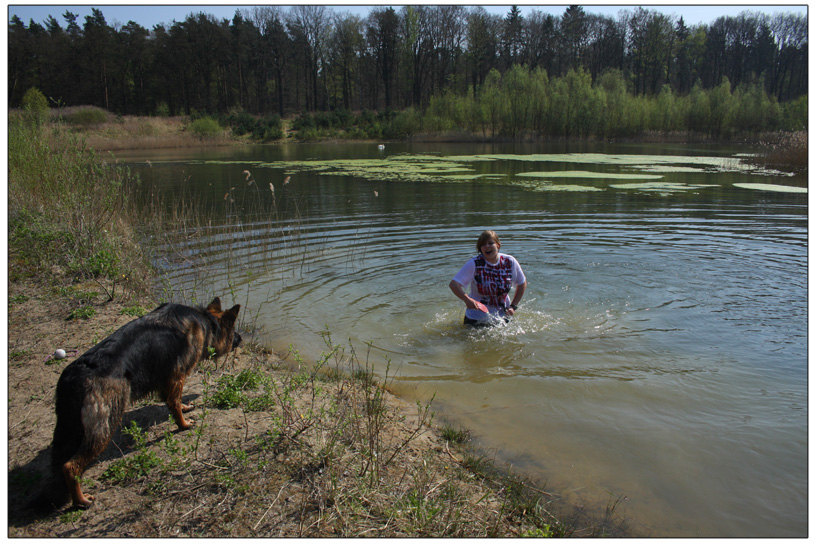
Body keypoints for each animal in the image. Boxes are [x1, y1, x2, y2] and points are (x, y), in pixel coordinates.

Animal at [36, 298, 239, 510]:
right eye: (234, 331)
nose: (240, 338)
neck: (205, 321)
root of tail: (73, 377)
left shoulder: (168, 380)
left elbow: (173, 400)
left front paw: (184, 409)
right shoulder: (177, 375)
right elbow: (174, 402)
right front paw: (183, 424)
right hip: (104, 426)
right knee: (70, 466)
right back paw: (81, 500)